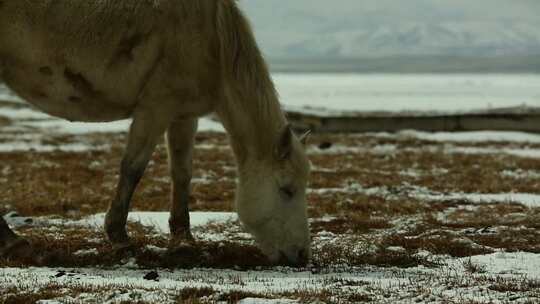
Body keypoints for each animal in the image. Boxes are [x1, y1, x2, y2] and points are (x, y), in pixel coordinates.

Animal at [0, 0, 312, 264]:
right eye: (287, 190)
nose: (301, 254)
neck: (213, 38)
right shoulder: (155, 109)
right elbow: (133, 168)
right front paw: (119, 237)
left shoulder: (183, 115)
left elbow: (182, 173)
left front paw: (183, 239)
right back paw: (14, 242)